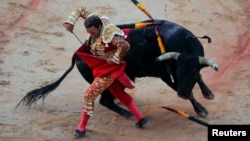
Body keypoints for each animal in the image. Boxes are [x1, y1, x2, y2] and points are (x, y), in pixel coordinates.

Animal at [16, 19, 219, 118]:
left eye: (192, 72)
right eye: (178, 71)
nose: (182, 94)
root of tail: (77, 54)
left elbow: (200, 79)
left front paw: (207, 93)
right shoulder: (165, 74)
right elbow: (184, 89)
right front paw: (201, 109)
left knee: (109, 100)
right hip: (107, 82)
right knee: (105, 101)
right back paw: (128, 114)